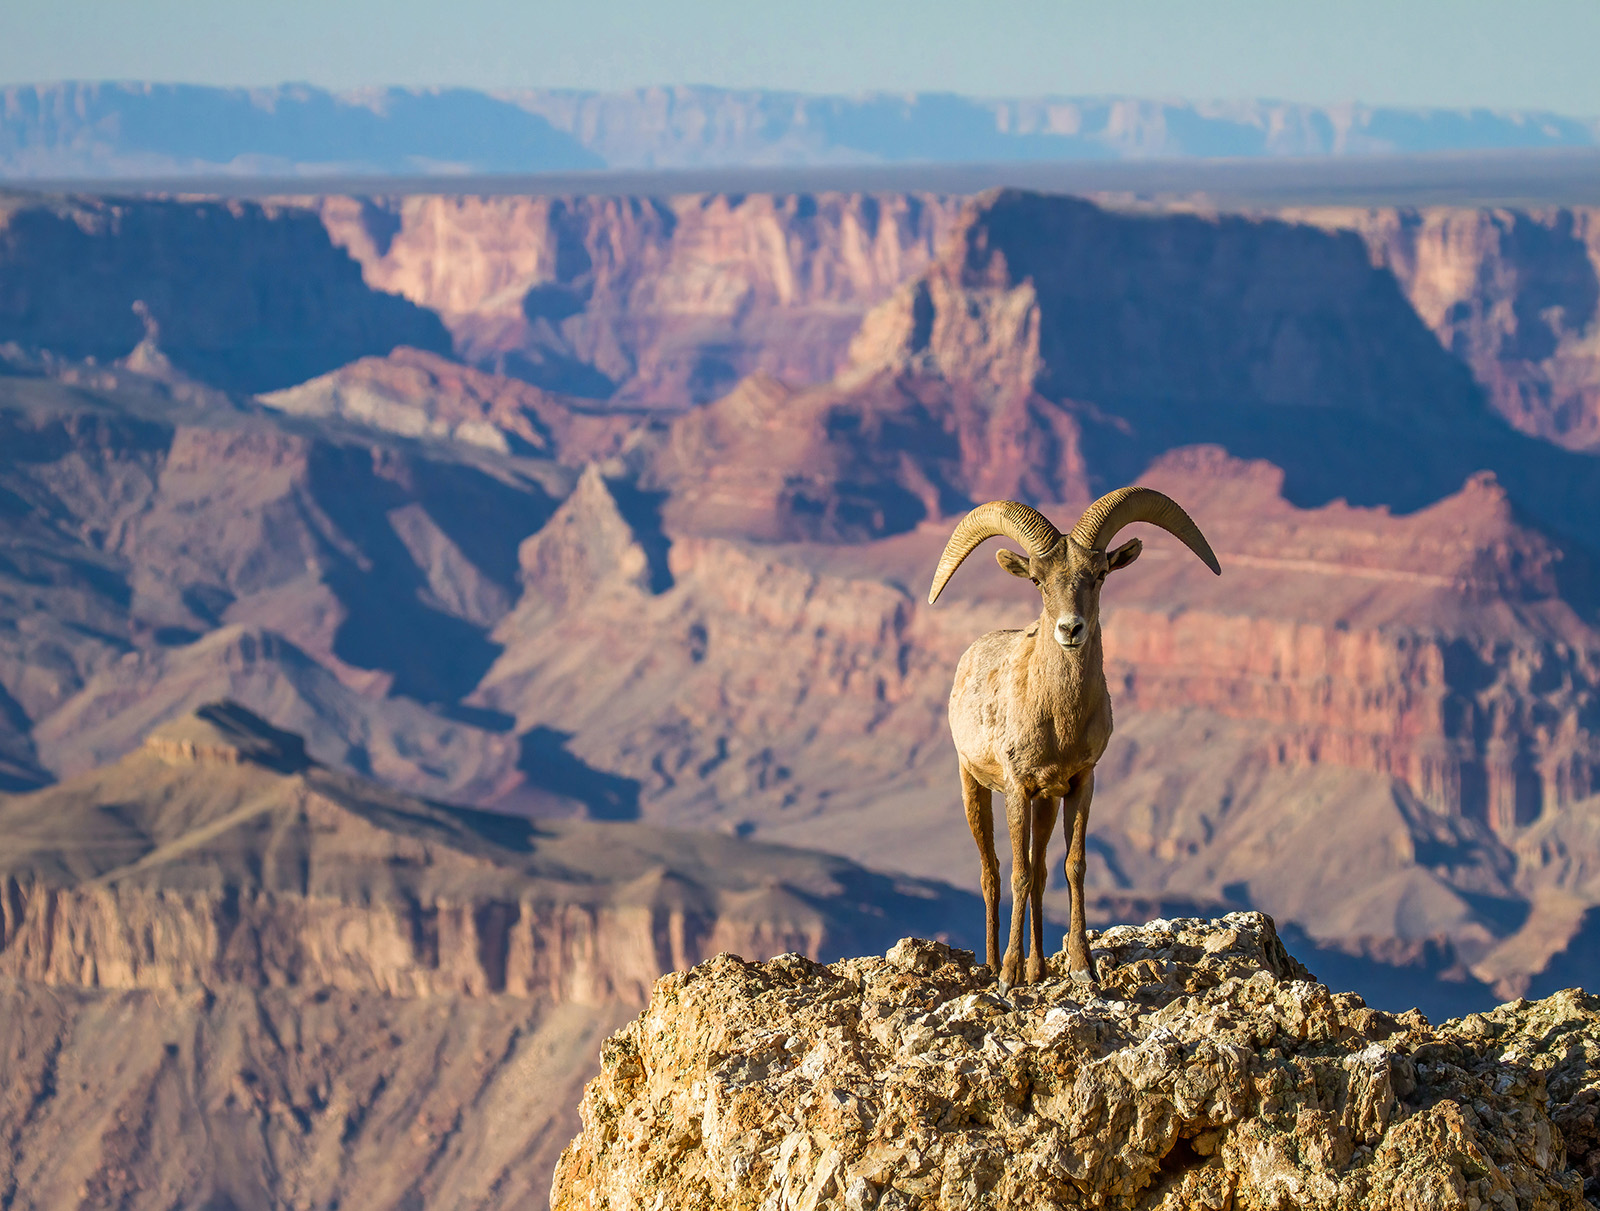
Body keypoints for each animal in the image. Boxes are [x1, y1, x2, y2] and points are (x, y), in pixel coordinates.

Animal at [927, 487, 1220, 987]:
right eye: (1037, 580)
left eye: (1100, 574)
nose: (1070, 629)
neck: (1058, 720)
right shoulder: (1017, 788)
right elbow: (1019, 873)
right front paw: (1008, 977)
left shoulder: (1080, 782)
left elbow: (1072, 867)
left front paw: (1082, 967)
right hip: (974, 787)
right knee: (992, 873)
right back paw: (994, 966)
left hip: (1046, 803)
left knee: (1043, 870)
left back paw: (1039, 967)